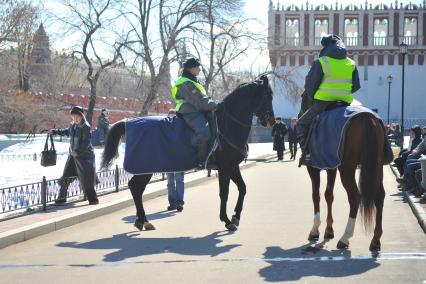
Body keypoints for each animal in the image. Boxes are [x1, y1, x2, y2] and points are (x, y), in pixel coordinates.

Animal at [100, 76, 274, 233]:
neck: (227, 126)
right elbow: (224, 193)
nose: (271, 121)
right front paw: (226, 220)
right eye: (268, 96)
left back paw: (143, 221)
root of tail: (128, 122)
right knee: (135, 188)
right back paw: (143, 220)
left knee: (136, 188)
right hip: (145, 170)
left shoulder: (233, 167)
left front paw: (235, 216)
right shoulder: (225, 168)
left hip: (145, 170)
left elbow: (242, 189)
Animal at [302, 92, 388, 252]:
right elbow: (329, 194)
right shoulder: (331, 165)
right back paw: (375, 240)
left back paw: (345, 238)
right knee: (379, 196)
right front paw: (329, 230)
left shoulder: (313, 167)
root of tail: (367, 118)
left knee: (355, 197)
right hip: (377, 166)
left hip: (347, 168)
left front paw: (315, 229)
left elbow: (316, 195)